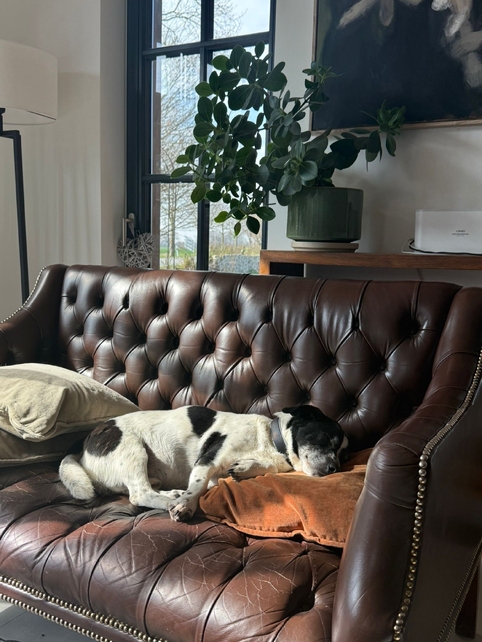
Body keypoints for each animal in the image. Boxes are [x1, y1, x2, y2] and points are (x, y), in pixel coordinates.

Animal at [59, 405, 348, 522]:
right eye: (326, 439)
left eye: (343, 454)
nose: (334, 469)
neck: (269, 440)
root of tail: (83, 448)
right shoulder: (208, 460)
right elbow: (197, 487)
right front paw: (185, 505)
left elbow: (253, 469)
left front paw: (245, 469)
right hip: (133, 448)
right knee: (139, 493)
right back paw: (173, 501)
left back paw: (173, 493)